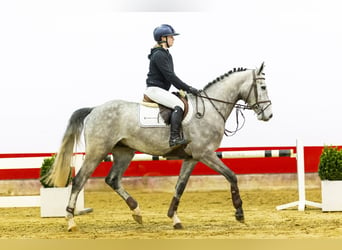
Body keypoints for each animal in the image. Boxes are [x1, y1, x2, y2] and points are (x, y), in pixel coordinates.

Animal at [44, 62, 272, 230]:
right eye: (263, 87)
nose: (268, 115)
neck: (210, 108)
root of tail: (94, 109)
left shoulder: (192, 157)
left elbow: (180, 186)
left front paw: (174, 218)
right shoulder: (205, 154)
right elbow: (231, 176)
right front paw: (240, 213)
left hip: (124, 152)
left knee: (113, 179)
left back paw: (136, 212)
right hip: (96, 152)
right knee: (79, 181)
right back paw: (71, 221)